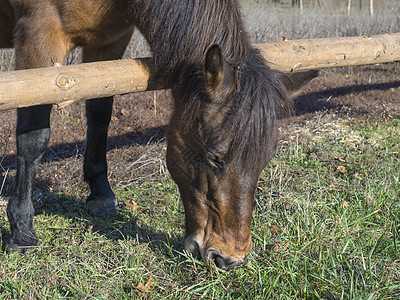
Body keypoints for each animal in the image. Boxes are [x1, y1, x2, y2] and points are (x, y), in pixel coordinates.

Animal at [0, 0, 318, 270]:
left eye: (266, 159)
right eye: (214, 157)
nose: (230, 259)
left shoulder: (109, 42)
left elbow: (100, 112)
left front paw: (101, 192)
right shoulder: (38, 38)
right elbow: (34, 135)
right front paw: (22, 230)